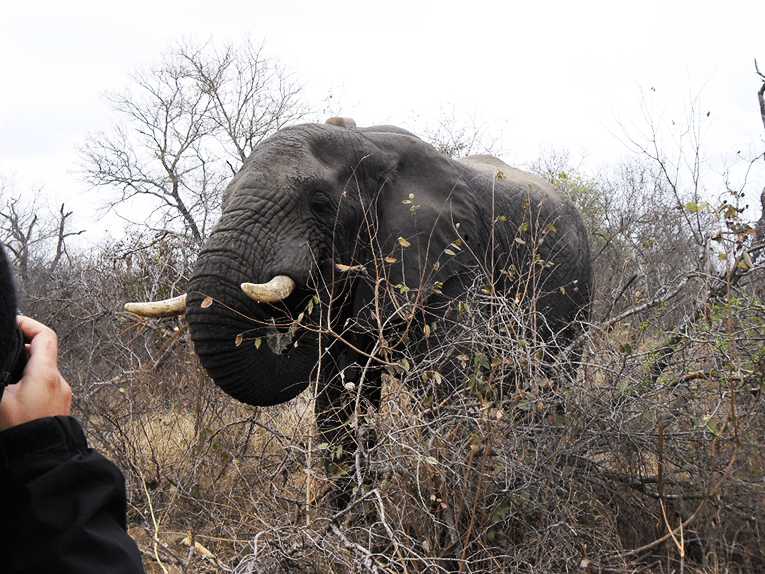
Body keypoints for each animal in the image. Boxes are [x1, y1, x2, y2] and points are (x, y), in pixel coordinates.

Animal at [126, 118, 592, 491]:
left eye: (319, 205)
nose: (321, 277)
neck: (369, 143)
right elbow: (339, 403)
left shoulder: (454, 262)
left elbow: (448, 397)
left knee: (549, 389)